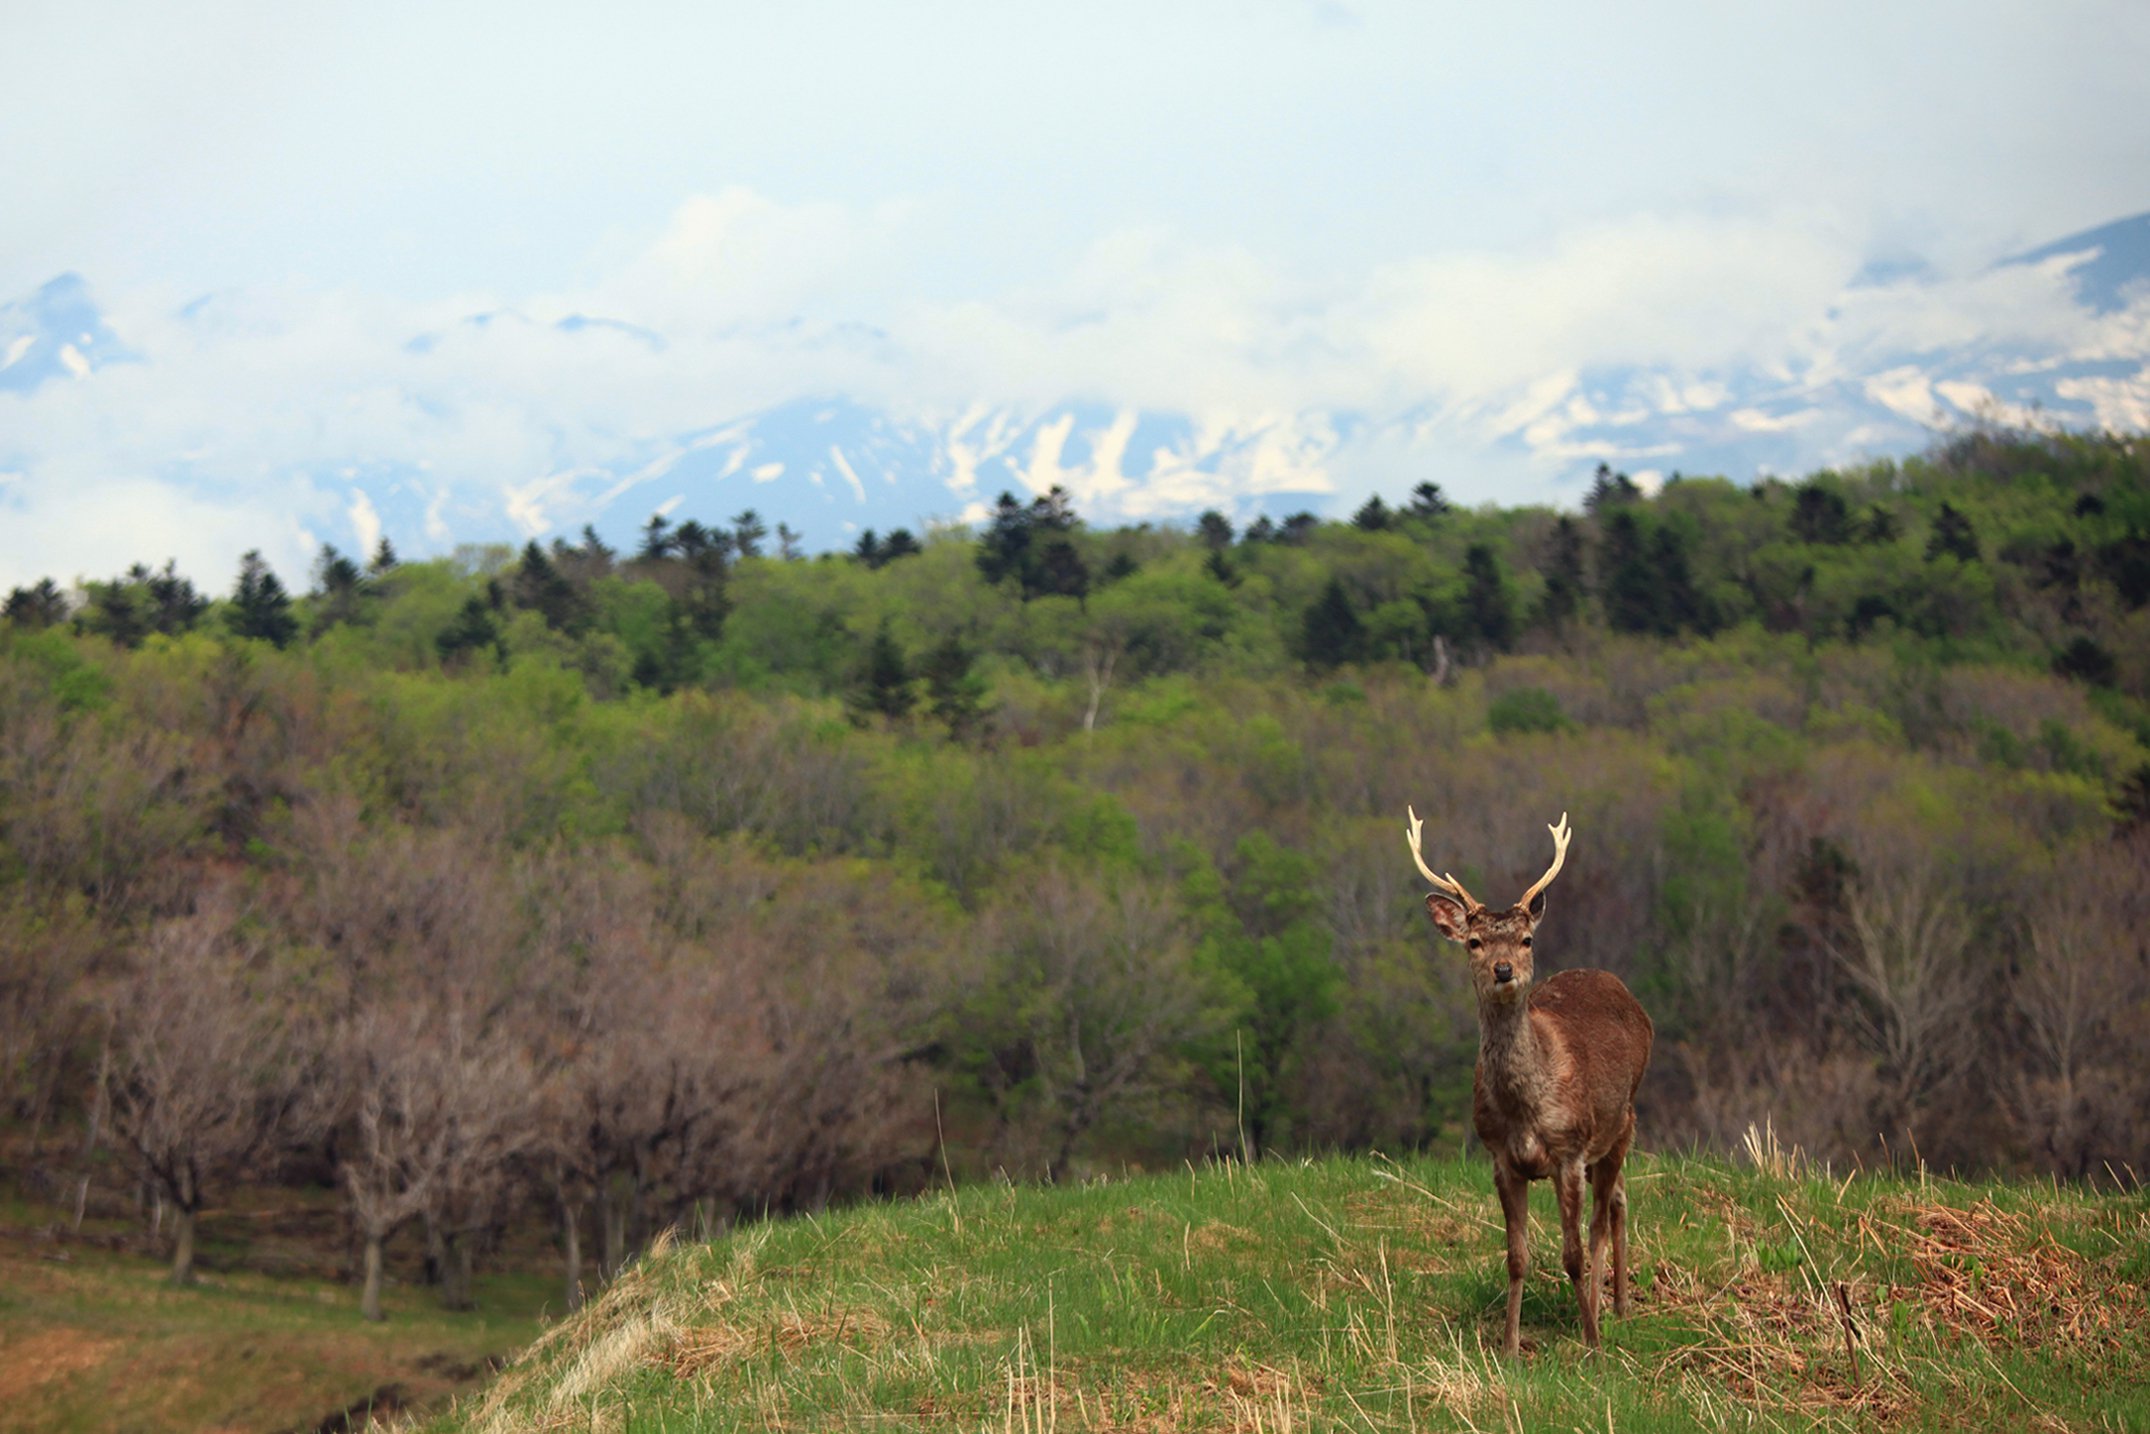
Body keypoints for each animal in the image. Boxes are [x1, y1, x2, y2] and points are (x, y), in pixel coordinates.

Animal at [1401, 808, 1651, 1358]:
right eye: (1474, 942)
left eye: (1526, 939)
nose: (1502, 969)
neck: (1526, 1106)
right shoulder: (1501, 1157)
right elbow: (1516, 1256)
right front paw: (1510, 1346)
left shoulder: (1569, 1150)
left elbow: (1573, 1253)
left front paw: (1591, 1342)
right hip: (1607, 1142)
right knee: (1619, 1199)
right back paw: (1619, 1304)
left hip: (1623, 1119)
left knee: (1601, 1222)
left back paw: (1604, 1312)